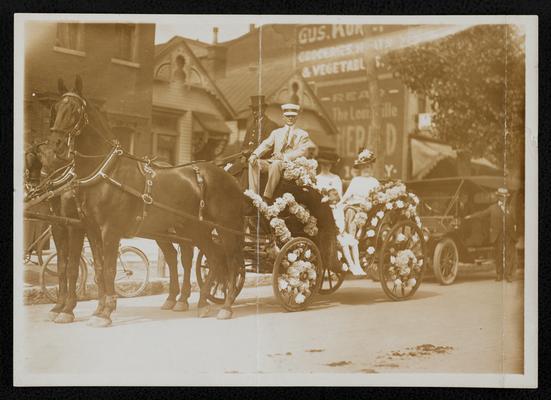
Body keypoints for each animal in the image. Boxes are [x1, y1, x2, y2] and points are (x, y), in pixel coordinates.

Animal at [40, 76, 245, 326]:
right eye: (56, 108)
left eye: (75, 110)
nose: (56, 144)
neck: (104, 171)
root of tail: (229, 176)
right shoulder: (89, 229)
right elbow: (96, 269)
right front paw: (96, 310)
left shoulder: (105, 230)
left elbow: (104, 269)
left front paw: (104, 311)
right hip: (192, 228)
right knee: (207, 259)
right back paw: (198, 302)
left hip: (225, 228)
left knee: (230, 261)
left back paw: (224, 306)